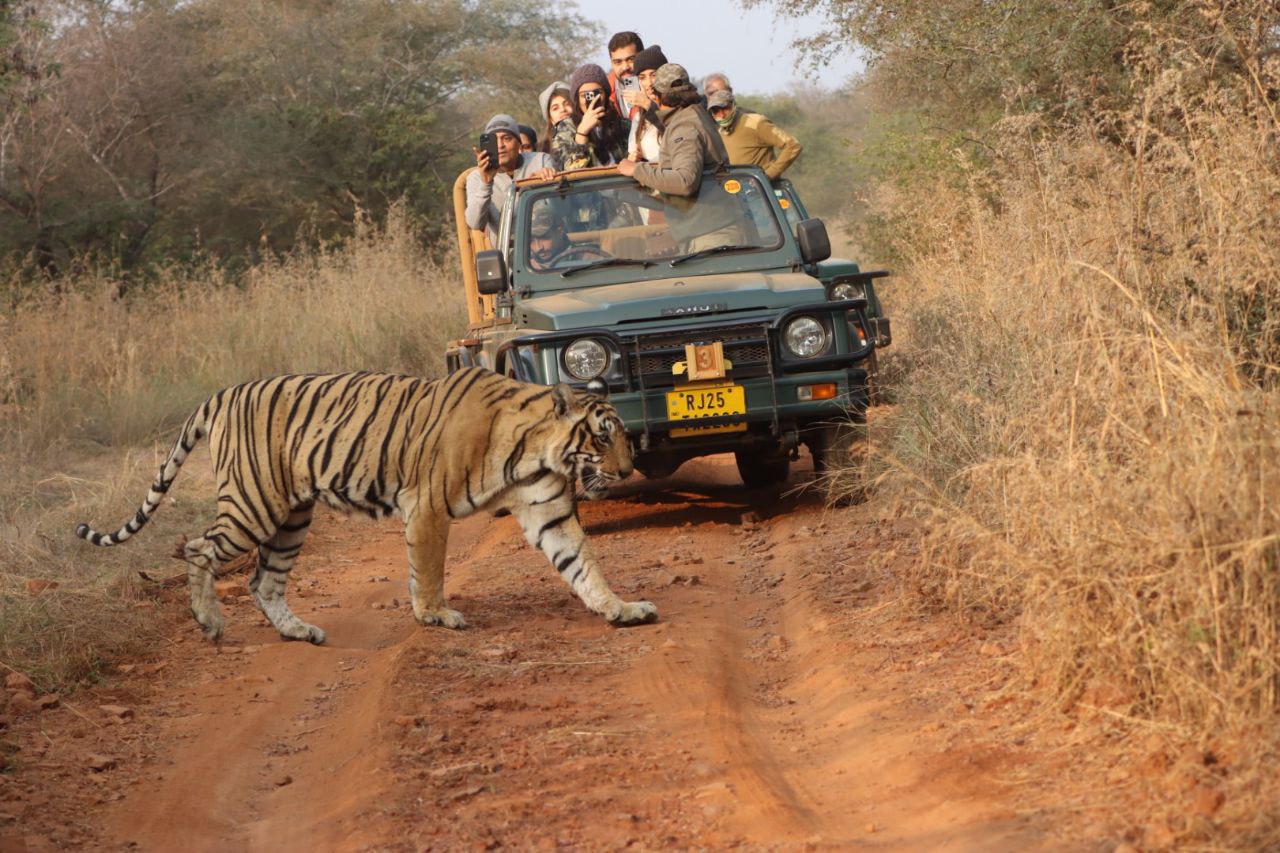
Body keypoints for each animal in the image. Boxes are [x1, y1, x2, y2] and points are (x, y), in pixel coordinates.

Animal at [77, 366, 660, 645]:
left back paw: (298, 632)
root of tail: (222, 393)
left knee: (263, 580)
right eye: (603, 437)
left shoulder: (549, 511)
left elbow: (582, 565)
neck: (537, 451)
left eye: (619, 436)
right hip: (253, 504)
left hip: (292, 516)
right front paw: (435, 616)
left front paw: (621, 608)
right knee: (199, 548)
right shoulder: (426, 505)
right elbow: (428, 569)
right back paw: (210, 624)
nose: (626, 471)